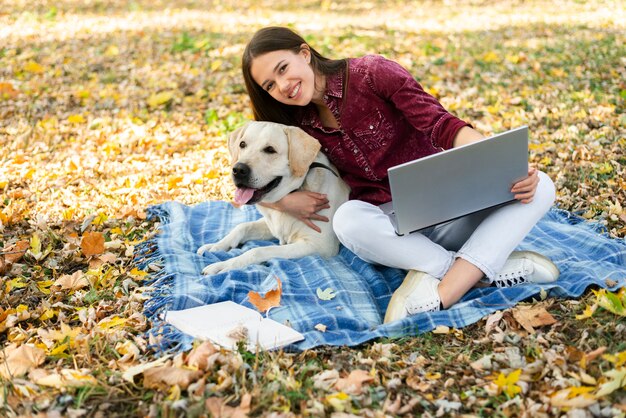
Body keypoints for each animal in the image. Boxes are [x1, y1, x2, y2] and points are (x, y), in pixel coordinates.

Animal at [197, 121, 348, 276]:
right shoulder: (273, 225)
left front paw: (224, 265)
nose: (238, 169)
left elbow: (257, 251)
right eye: (242, 144)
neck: (295, 191)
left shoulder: (319, 245)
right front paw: (216, 246)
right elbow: (242, 226)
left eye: (270, 150)